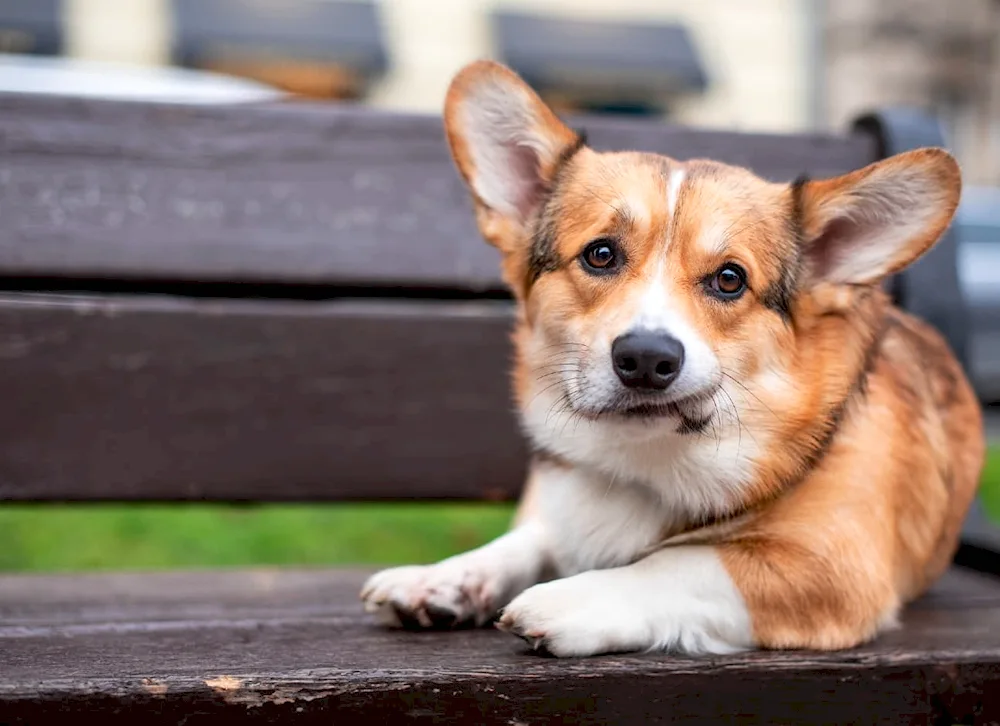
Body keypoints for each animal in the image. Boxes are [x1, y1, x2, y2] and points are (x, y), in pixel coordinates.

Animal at [360, 61, 984, 660]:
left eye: (730, 279)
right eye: (601, 254)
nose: (645, 359)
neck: (647, 464)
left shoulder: (831, 567)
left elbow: (683, 562)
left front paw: (571, 599)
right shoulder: (560, 507)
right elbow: (528, 539)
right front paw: (443, 577)